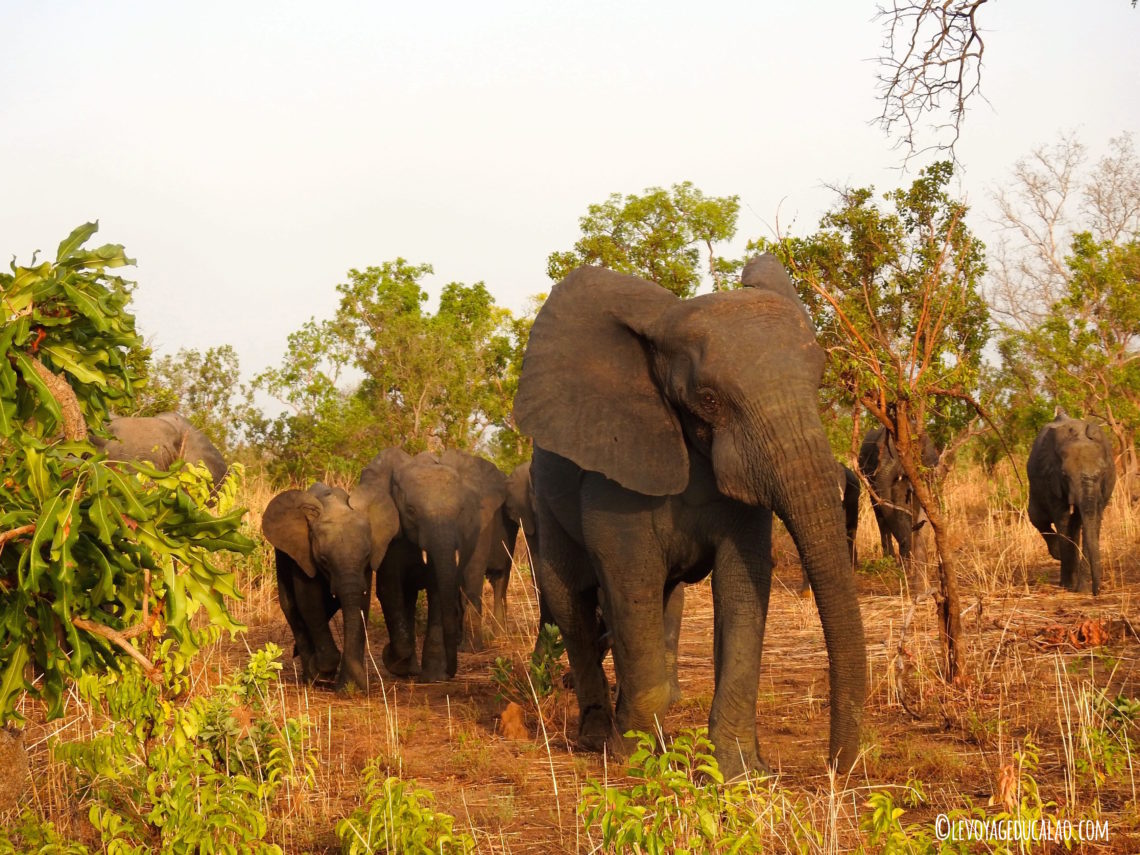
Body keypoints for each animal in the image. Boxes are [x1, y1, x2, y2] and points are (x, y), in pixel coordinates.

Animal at [261, 479, 398, 691]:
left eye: (367, 556)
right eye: (324, 560)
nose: (364, 685)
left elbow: (362, 606)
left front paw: (349, 688)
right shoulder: (303, 553)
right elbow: (309, 601)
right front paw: (321, 672)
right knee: (291, 608)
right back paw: (310, 679)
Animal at [513, 254, 867, 777]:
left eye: (819, 381)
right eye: (709, 399)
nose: (835, 769)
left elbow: (742, 582)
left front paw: (740, 771)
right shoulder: (616, 470)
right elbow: (629, 575)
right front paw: (635, 760)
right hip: (543, 502)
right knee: (571, 602)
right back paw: (597, 738)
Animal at [1027, 410, 1116, 595]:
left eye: (1103, 473)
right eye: (1064, 475)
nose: (1097, 592)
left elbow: (1093, 520)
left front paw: (1082, 590)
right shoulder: (1051, 478)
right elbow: (1063, 519)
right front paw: (1070, 586)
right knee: (1037, 518)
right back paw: (1058, 557)